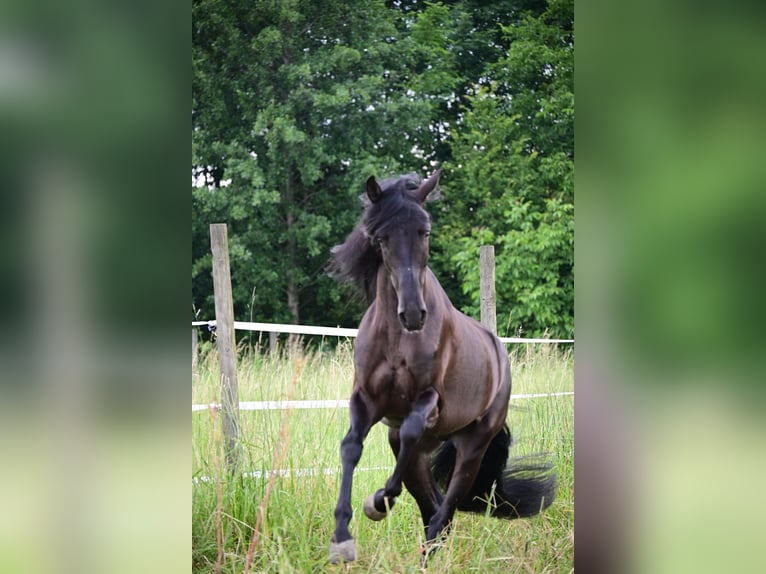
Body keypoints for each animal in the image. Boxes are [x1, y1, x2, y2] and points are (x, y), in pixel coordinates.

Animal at [328, 169, 556, 564]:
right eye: (381, 237)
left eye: (426, 231)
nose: (413, 314)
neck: (398, 339)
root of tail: (499, 354)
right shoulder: (365, 399)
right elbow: (351, 446)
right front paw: (342, 536)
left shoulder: (429, 400)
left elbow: (410, 430)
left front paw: (379, 502)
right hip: (420, 454)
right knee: (432, 509)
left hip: (473, 448)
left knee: (444, 511)